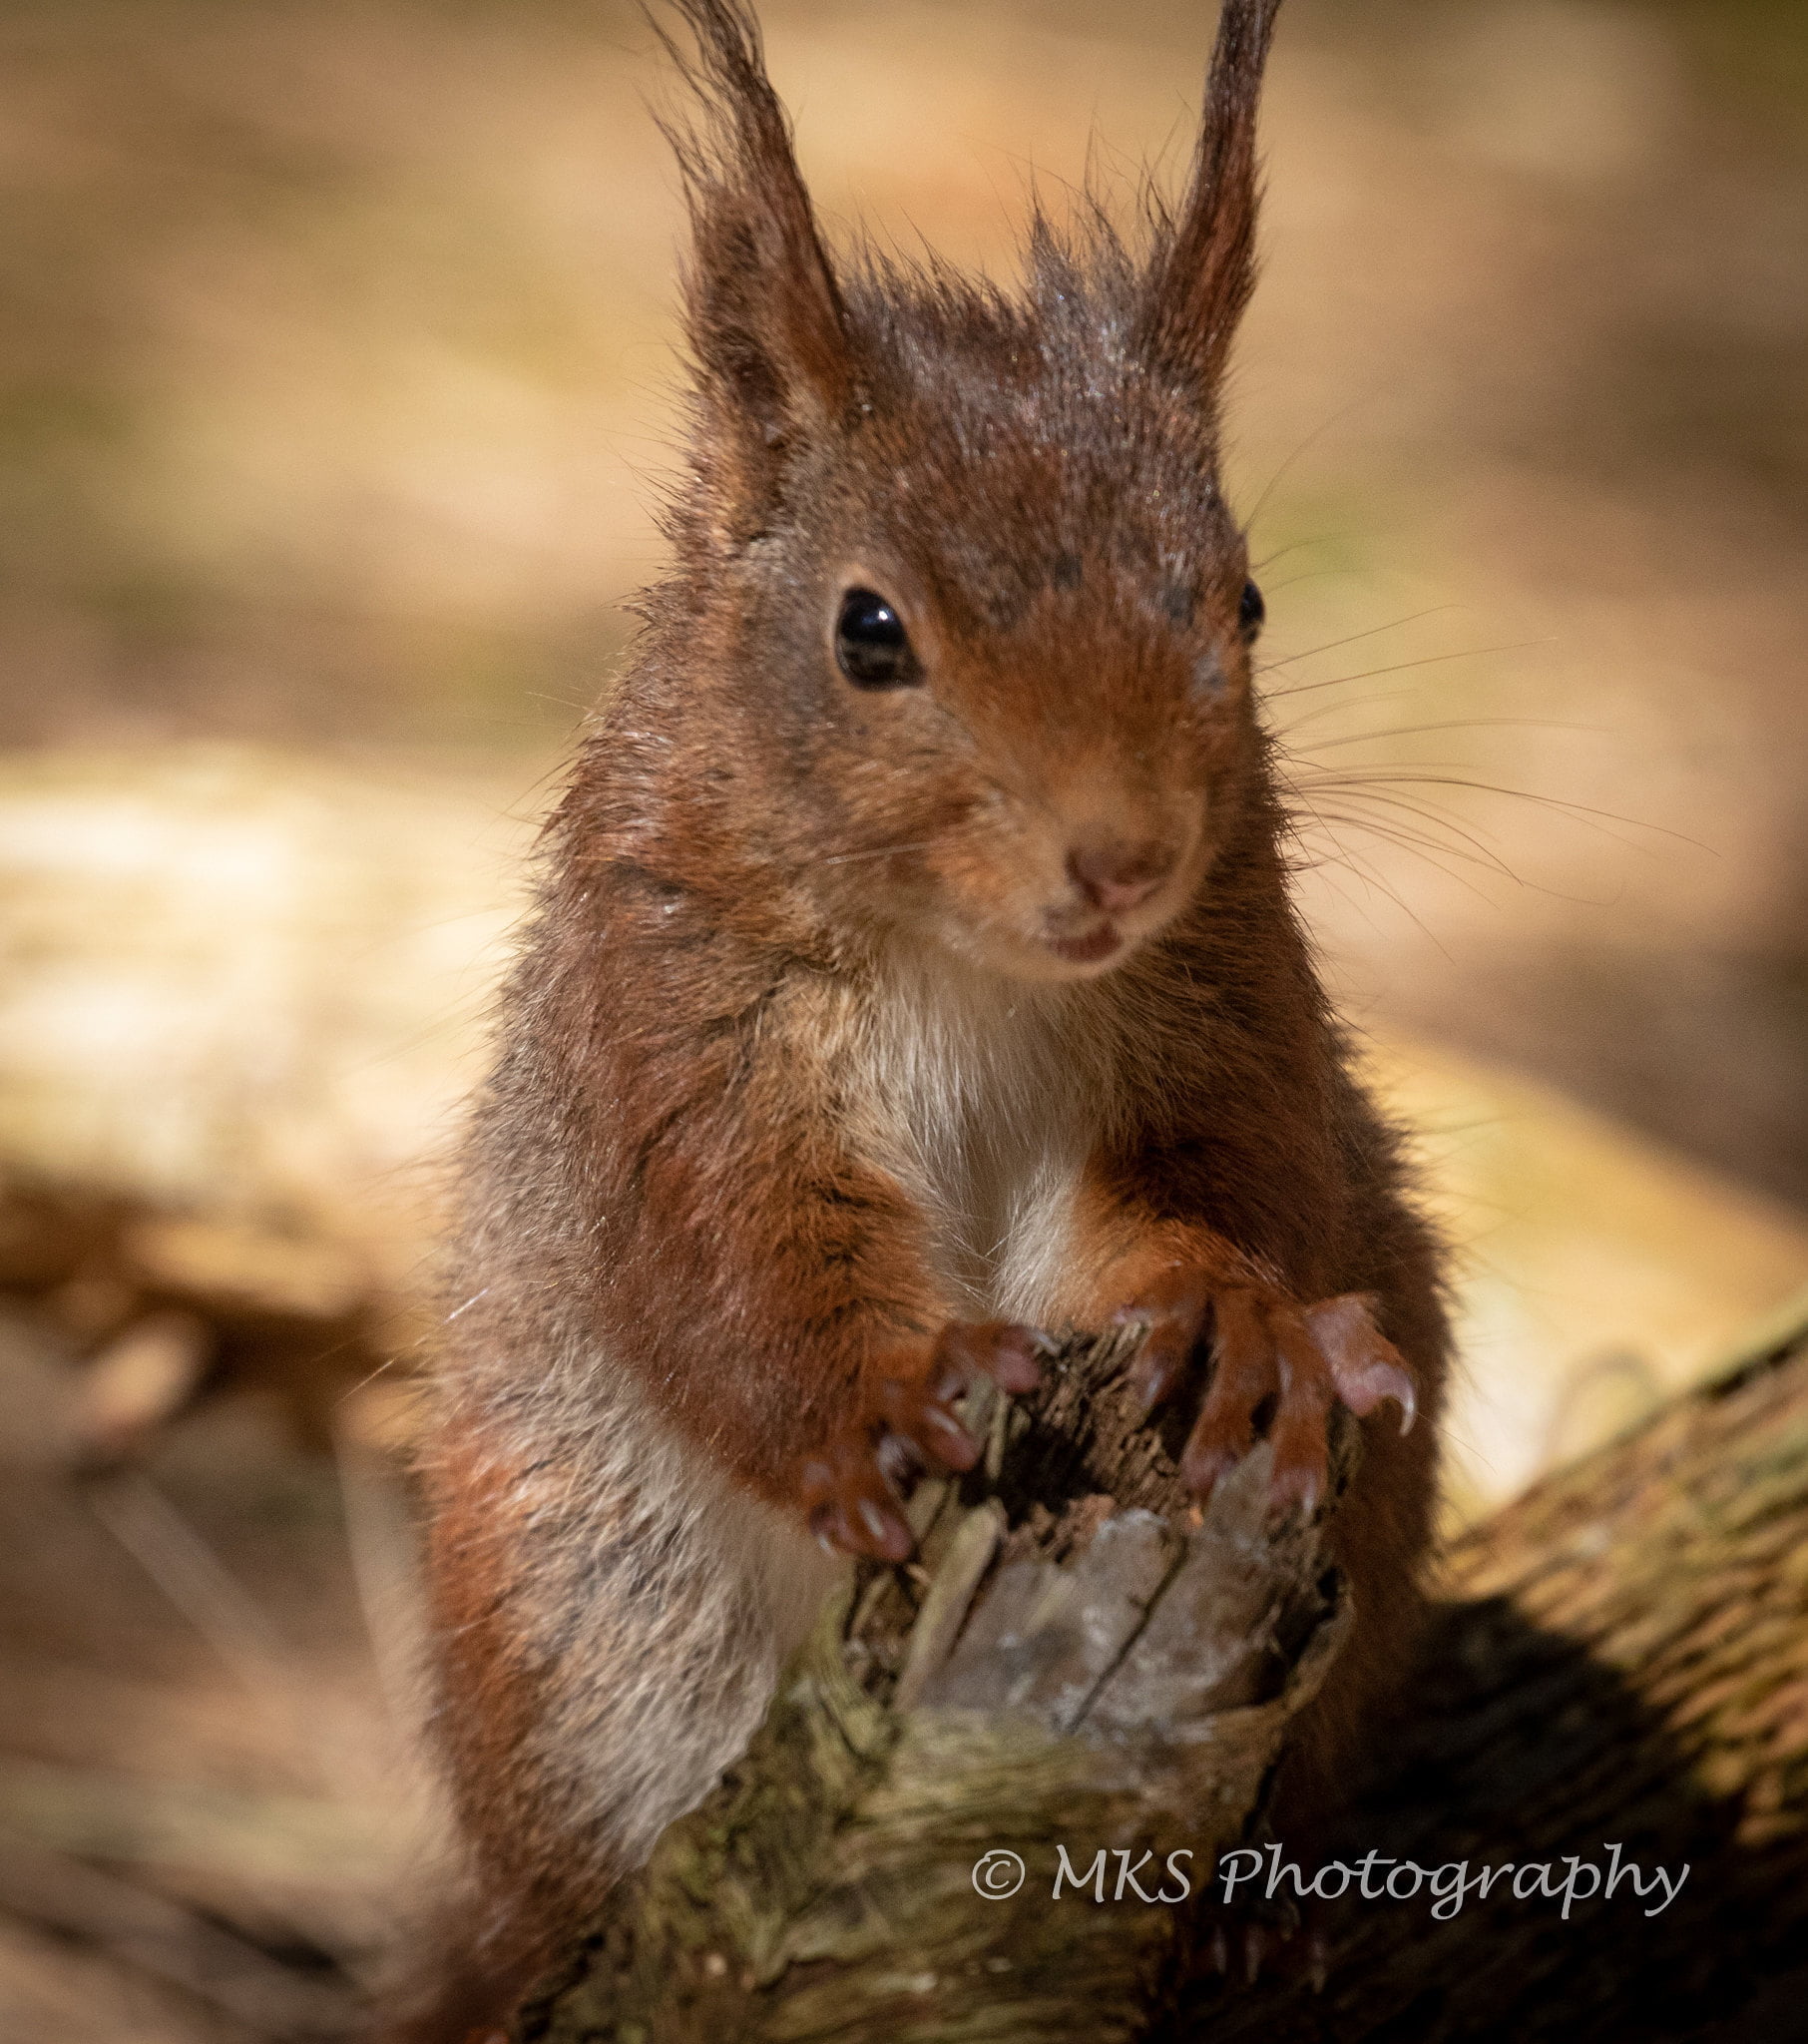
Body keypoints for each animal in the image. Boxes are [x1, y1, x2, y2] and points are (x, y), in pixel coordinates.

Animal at [404, 0, 1448, 2033]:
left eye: (1243, 605)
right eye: (866, 630)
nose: (1120, 857)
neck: (973, 970)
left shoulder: (1225, 1016)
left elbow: (1220, 1199)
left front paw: (1238, 1323)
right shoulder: (669, 1015)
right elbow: (737, 1253)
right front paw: (887, 1390)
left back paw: (1257, 1906)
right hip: (573, 1623)